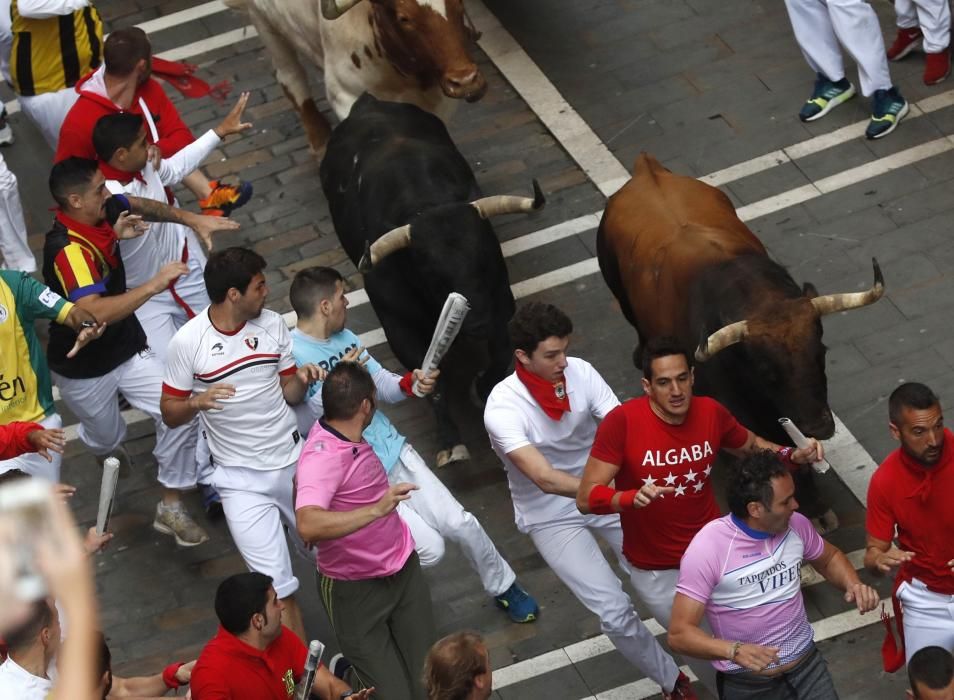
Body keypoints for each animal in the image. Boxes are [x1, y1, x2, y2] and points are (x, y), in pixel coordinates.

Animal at [223, 0, 484, 152]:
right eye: (404, 18)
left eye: (459, 4)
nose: (465, 81)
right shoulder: (345, 96)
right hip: (264, 24)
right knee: (291, 79)